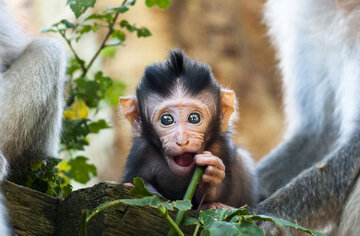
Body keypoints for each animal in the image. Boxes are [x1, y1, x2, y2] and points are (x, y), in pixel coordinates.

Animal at [120, 48, 256, 207]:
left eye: (194, 118)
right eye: (166, 120)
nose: (182, 140)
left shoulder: (220, 147)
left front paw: (212, 178)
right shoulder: (141, 153)